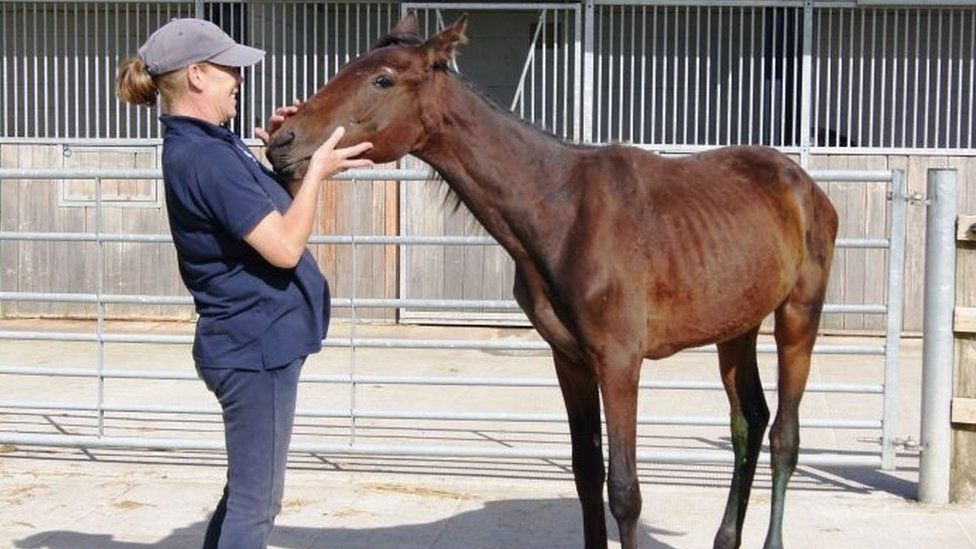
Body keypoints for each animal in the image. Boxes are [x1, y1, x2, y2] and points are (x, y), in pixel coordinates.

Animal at [266, 12, 840, 548]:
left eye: (383, 79)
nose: (280, 140)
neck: (562, 210)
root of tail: (802, 184)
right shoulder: (570, 361)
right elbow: (587, 474)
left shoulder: (620, 363)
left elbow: (624, 490)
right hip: (735, 328)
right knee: (749, 422)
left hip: (797, 319)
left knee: (784, 435)